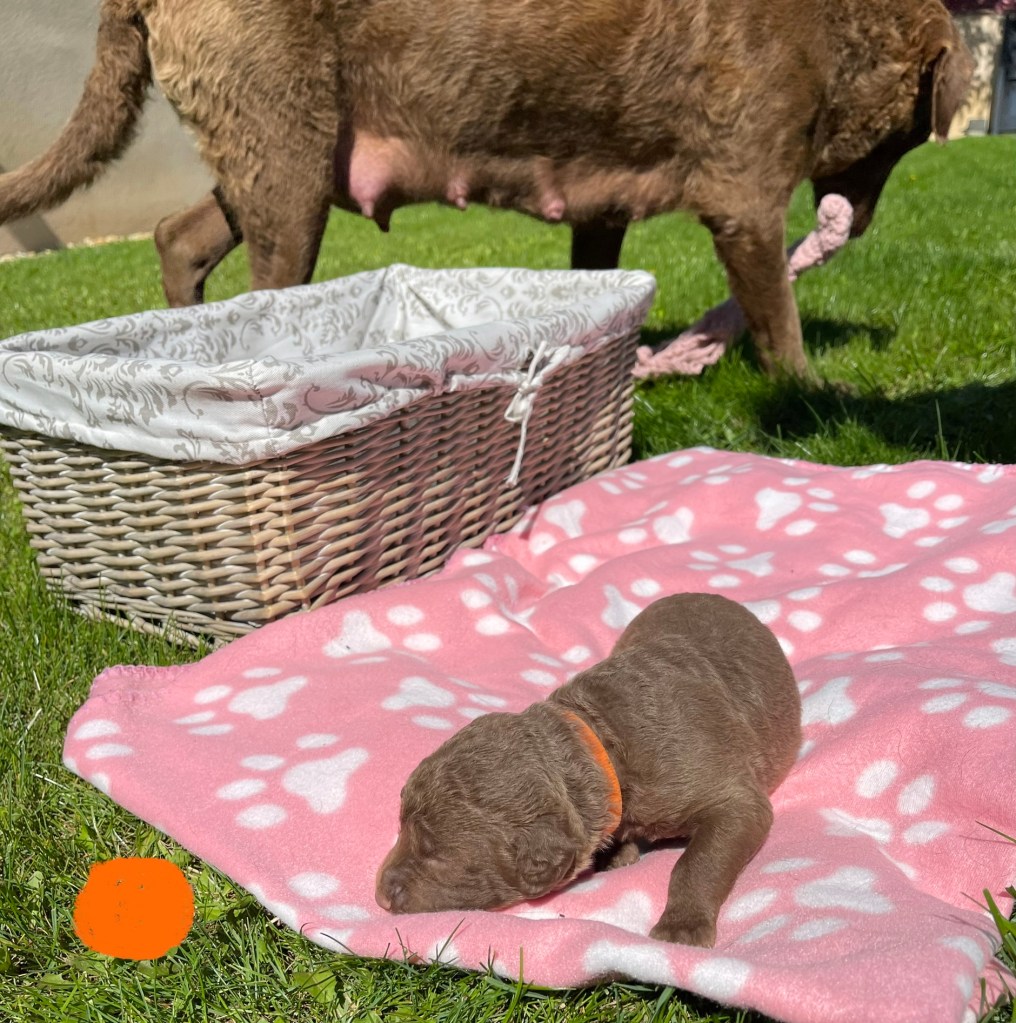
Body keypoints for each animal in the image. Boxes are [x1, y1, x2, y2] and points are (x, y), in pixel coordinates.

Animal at [0, 0, 971, 378]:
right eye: (907, 139)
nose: (859, 222)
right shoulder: (745, 197)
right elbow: (779, 323)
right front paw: (809, 394)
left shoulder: (601, 205)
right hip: (286, 157)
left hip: (273, 157)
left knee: (179, 234)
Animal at [375, 593, 802, 946]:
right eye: (401, 827)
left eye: (436, 853)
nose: (379, 897)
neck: (603, 744)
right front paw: (618, 854)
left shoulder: (732, 798)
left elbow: (698, 862)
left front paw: (682, 928)